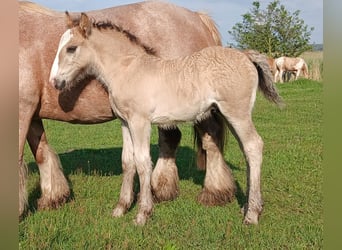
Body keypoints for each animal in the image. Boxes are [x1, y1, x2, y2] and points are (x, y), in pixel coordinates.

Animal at [20, 0, 231, 218]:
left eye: (71, 48)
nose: (55, 81)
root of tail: (199, 18)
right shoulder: (33, 114)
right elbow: (41, 151)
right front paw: (52, 198)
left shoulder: (22, 109)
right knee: (172, 140)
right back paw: (162, 190)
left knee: (210, 138)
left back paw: (214, 192)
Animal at [49, 12, 282, 226]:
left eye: (71, 48)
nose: (55, 82)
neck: (128, 69)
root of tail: (246, 55)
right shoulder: (125, 122)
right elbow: (127, 161)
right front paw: (120, 208)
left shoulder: (140, 122)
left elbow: (143, 162)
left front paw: (142, 214)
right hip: (230, 115)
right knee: (247, 150)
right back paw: (249, 206)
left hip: (237, 114)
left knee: (253, 146)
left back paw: (252, 214)